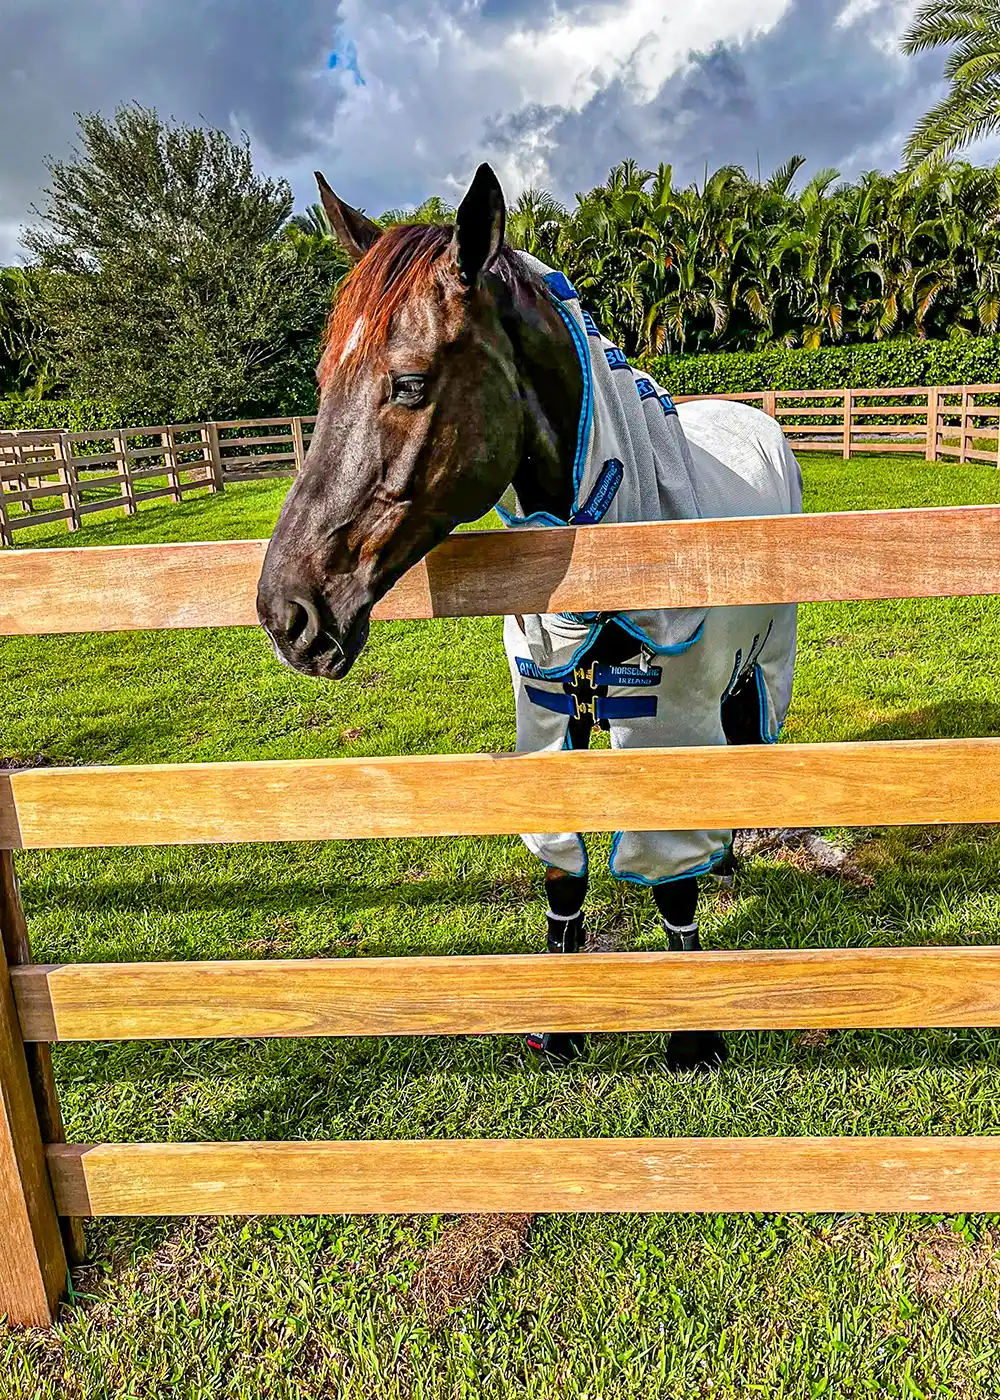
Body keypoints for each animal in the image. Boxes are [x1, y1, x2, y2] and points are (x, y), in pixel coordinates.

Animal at [257, 163, 803, 1071]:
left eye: (410, 384)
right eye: (324, 385)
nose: (286, 613)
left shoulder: (668, 713)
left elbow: (671, 883)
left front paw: (693, 1034)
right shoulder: (547, 709)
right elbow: (563, 873)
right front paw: (562, 1023)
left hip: (768, 656)